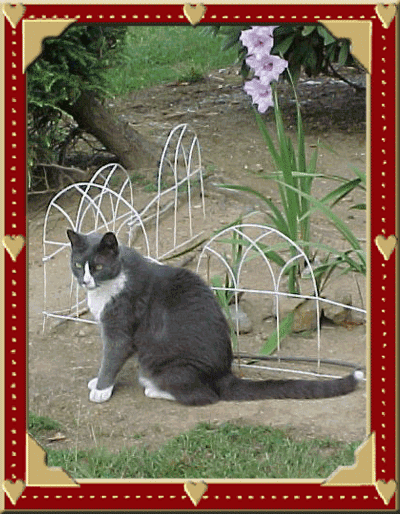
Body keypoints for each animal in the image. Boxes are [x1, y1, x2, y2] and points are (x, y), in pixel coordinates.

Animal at [66, 229, 362, 404]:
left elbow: (112, 357)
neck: (111, 284)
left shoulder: (119, 327)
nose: (85, 281)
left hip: (164, 362)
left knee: (204, 395)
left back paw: (154, 388)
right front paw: (99, 383)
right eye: (78, 264)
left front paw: (101, 389)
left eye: (98, 267)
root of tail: (224, 374)